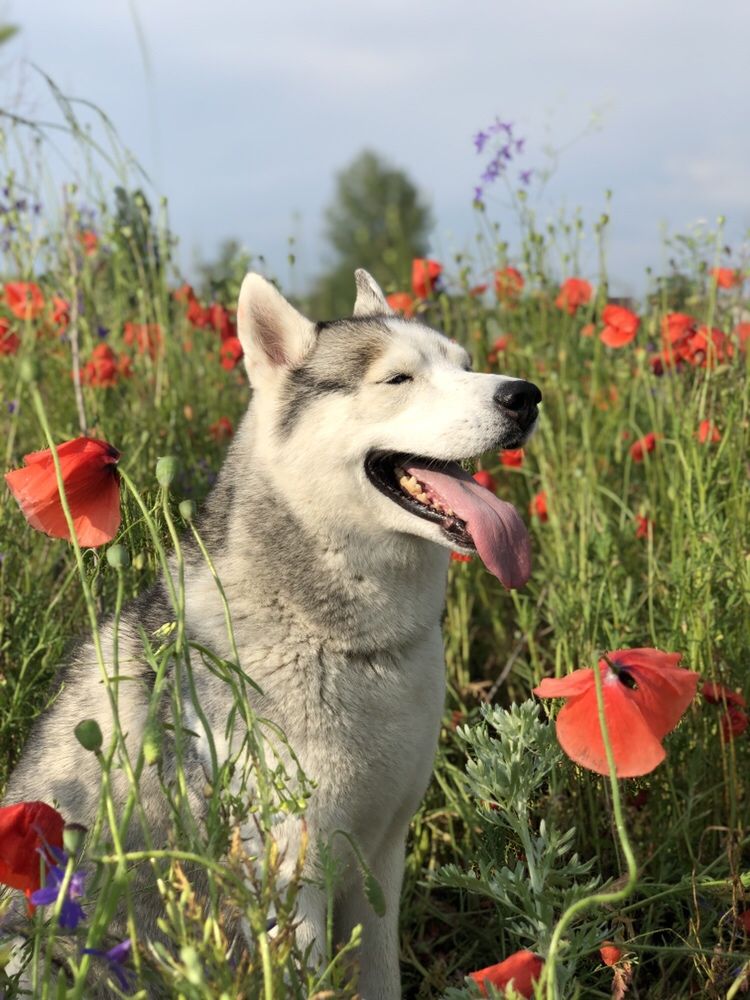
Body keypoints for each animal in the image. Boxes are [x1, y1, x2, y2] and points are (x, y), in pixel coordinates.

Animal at [1, 270, 540, 996]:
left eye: (464, 363)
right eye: (398, 378)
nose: (525, 395)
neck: (346, 644)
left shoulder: (381, 859)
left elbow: (380, 976)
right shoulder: (292, 880)